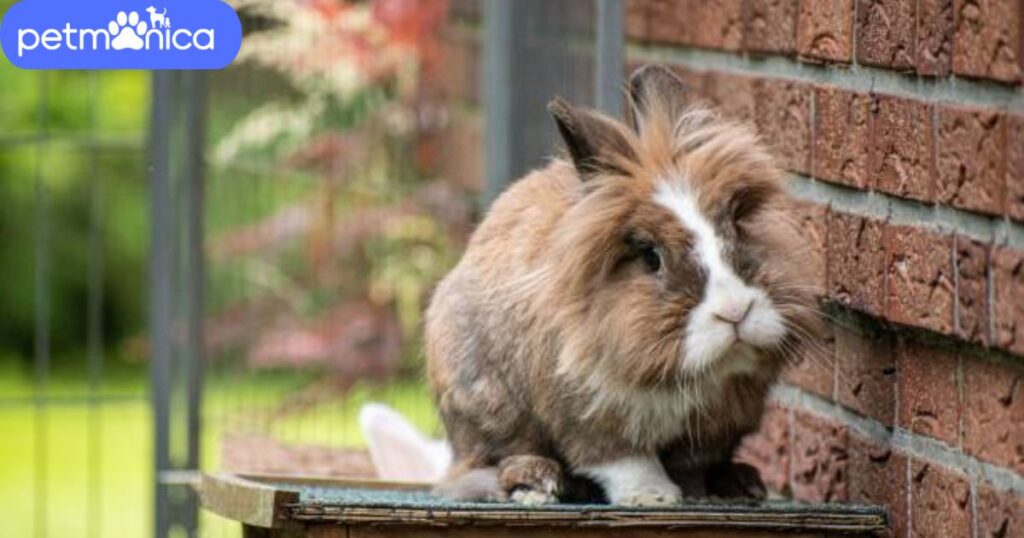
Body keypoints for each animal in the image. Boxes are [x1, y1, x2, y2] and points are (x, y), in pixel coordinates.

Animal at [421, 65, 815, 506]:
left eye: (736, 225)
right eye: (650, 256)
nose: (735, 311)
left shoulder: (719, 424)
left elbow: (694, 463)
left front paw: (700, 493)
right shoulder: (588, 413)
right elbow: (622, 459)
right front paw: (655, 496)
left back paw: (743, 483)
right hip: (486, 407)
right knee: (488, 463)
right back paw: (540, 482)